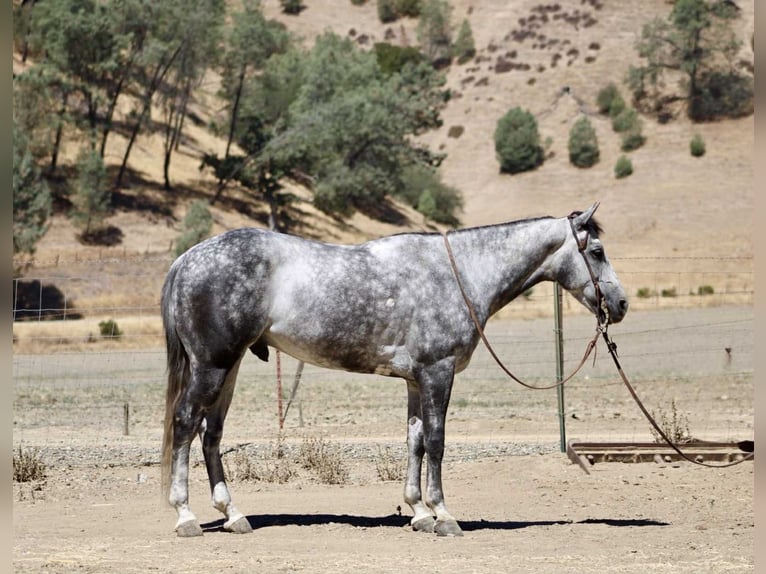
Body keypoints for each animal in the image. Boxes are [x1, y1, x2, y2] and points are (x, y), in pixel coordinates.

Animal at [160, 203, 628, 538]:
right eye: (598, 251)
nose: (621, 304)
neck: (460, 274)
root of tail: (188, 258)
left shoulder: (415, 381)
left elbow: (415, 441)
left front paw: (418, 511)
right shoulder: (439, 373)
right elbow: (437, 442)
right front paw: (443, 515)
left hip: (230, 367)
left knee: (211, 434)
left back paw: (233, 514)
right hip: (213, 365)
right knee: (185, 423)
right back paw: (185, 517)